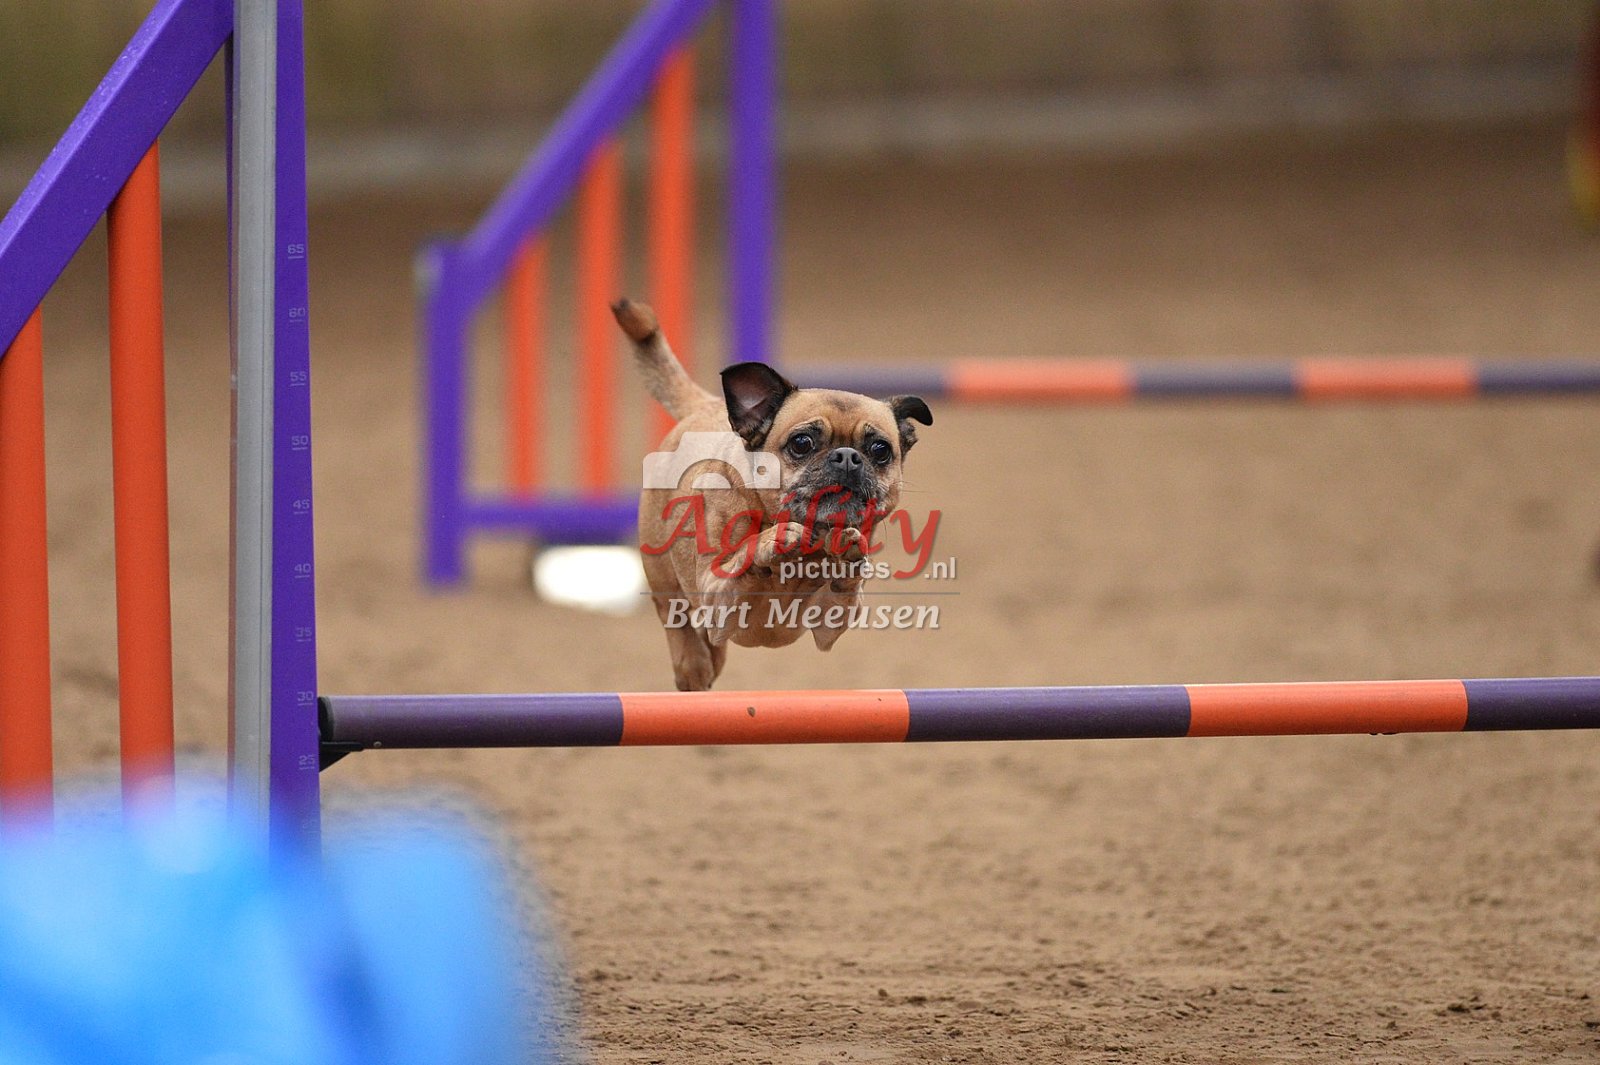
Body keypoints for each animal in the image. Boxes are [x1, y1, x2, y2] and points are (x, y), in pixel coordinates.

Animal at [613, 298, 932, 691]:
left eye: (880, 450)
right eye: (802, 443)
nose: (846, 456)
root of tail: (705, 406)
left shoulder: (829, 621)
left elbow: (845, 583)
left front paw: (847, 555)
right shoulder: (716, 596)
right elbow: (743, 561)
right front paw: (770, 542)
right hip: (669, 586)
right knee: (682, 630)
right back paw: (693, 664)